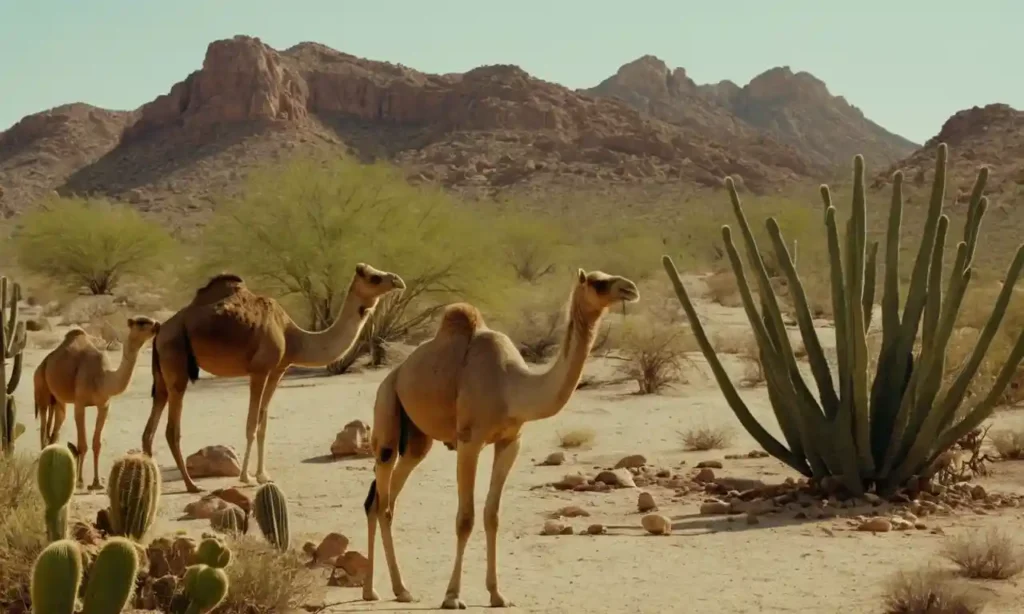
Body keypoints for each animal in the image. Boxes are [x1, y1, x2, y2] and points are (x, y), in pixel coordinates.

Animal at [34, 317, 160, 489]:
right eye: (141, 322)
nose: (157, 325)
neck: (103, 378)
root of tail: (45, 361)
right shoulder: (80, 404)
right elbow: (82, 444)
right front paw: (80, 481)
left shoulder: (104, 405)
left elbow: (96, 444)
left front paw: (96, 482)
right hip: (42, 390)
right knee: (43, 427)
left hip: (59, 400)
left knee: (55, 429)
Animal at [142, 260, 405, 491]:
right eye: (374, 277)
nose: (397, 280)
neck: (293, 337)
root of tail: (161, 330)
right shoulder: (259, 370)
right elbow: (251, 423)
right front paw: (246, 477)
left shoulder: (278, 369)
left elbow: (263, 422)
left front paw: (262, 475)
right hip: (176, 359)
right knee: (171, 428)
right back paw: (191, 485)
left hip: (162, 373)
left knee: (150, 426)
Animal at [362, 268, 638, 609]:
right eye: (599, 282)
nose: (630, 288)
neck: (511, 387)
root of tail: (394, 373)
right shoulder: (469, 441)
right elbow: (465, 518)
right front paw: (452, 596)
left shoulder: (510, 441)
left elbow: (492, 515)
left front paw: (497, 595)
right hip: (386, 411)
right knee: (380, 492)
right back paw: (374, 590)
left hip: (416, 440)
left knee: (385, 502)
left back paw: (399, 590)